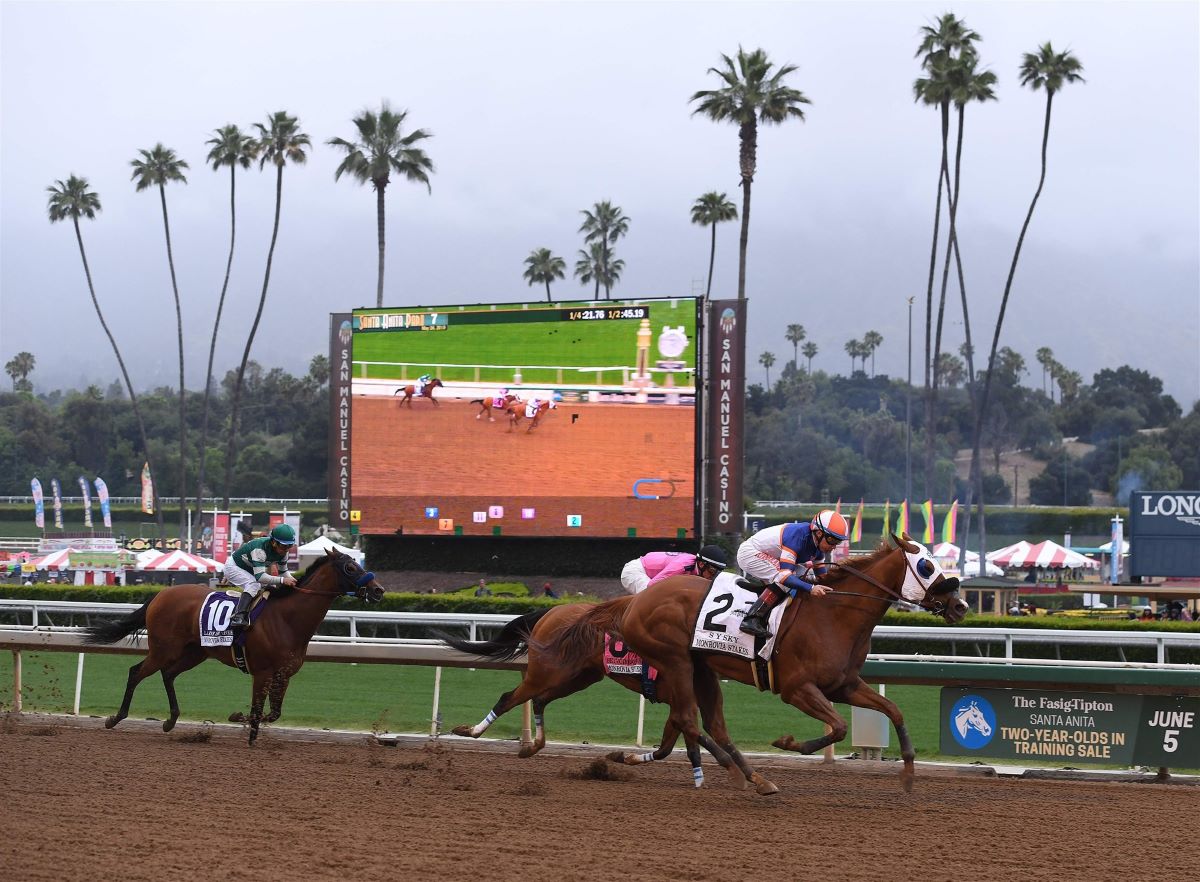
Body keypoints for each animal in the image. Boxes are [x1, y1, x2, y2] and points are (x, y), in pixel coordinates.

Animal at [83, 552, 384, 744]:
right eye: (350, 568)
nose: (378, 590)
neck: (287, 619)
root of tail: (161, 594)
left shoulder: (283, 675)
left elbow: (273, 713)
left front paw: (241, 720)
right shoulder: (261, 673)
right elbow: (257, 710)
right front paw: (245, 730)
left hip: (195, 652)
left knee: (168, 675)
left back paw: (170, 721)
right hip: (163, 649)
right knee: (136, 672)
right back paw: (115, 718)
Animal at [436, 597, 744, 792]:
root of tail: (551, 612)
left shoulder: (677, 703)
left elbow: (674, 745)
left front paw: (697, 778)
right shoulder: (678, 699)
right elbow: (685, 738)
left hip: (578, 677)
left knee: (539, 700)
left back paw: (532, 746)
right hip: (546, 672)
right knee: (509, 697)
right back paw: (472, 731)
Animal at [540, 535, 969, 796]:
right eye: (927, 567)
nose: (961, 605)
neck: (834, 613)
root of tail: (633, 602)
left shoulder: (844, 685)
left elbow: (893, 711)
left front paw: (909, 775)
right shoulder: (797, 689)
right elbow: (838, 726)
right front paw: (789, 743)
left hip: (699, 669)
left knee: (702, 721)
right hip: (674, 661)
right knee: (690, 718)